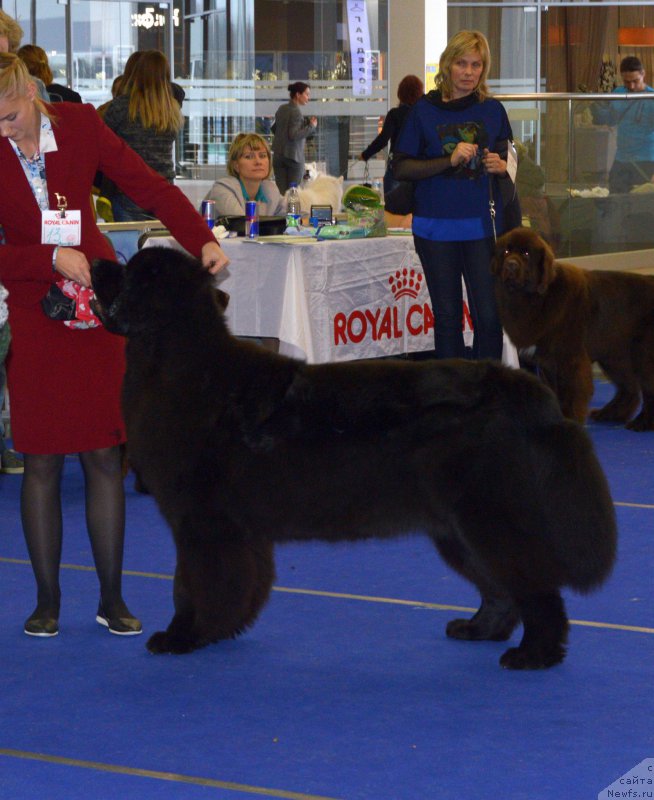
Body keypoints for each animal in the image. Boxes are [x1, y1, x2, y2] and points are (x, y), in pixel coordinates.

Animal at [91, 248, 620, 668]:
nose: (94, 261)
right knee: (500, 588)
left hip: (489, 516)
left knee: (535, 587)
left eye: (129, 273)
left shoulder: (202, 521)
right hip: (457, 527)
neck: (180, 366)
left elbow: (191, 585)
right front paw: (217, 630)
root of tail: (522, 388)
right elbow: (228, 582)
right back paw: (480, 630)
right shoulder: (230, 528)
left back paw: (535, 654)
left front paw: (184, 636)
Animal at [494, 225, 654, 432]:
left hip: (642, 354)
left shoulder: (569, 359)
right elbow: (554, 392)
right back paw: (610, 414)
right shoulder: (547, 362)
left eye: (526, 253)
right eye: (506, 251)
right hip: (614, 354)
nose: (511, 265)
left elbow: (571, 393)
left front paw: (570, 419)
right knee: (629, 387)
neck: (538, 296)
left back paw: (642, 422)